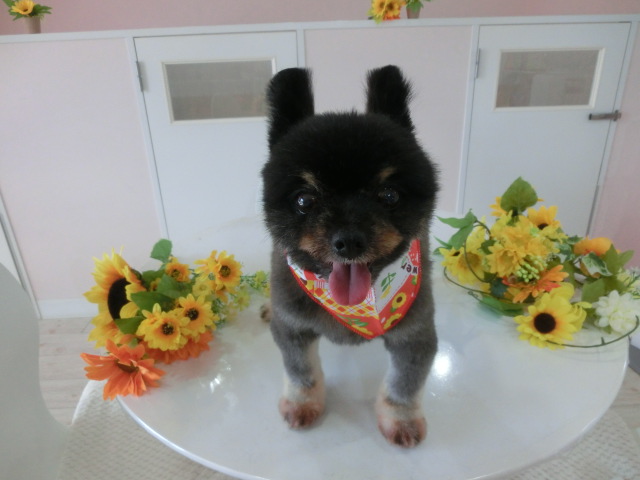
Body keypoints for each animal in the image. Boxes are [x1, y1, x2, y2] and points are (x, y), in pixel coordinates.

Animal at [261, 65, 439, 448]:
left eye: (389, 195)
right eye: (304, 200)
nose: (349, 241)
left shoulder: (416, 334)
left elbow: (404, 383)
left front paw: (401, 420)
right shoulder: (292, 327)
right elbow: (301, 371)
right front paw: (302, 402)